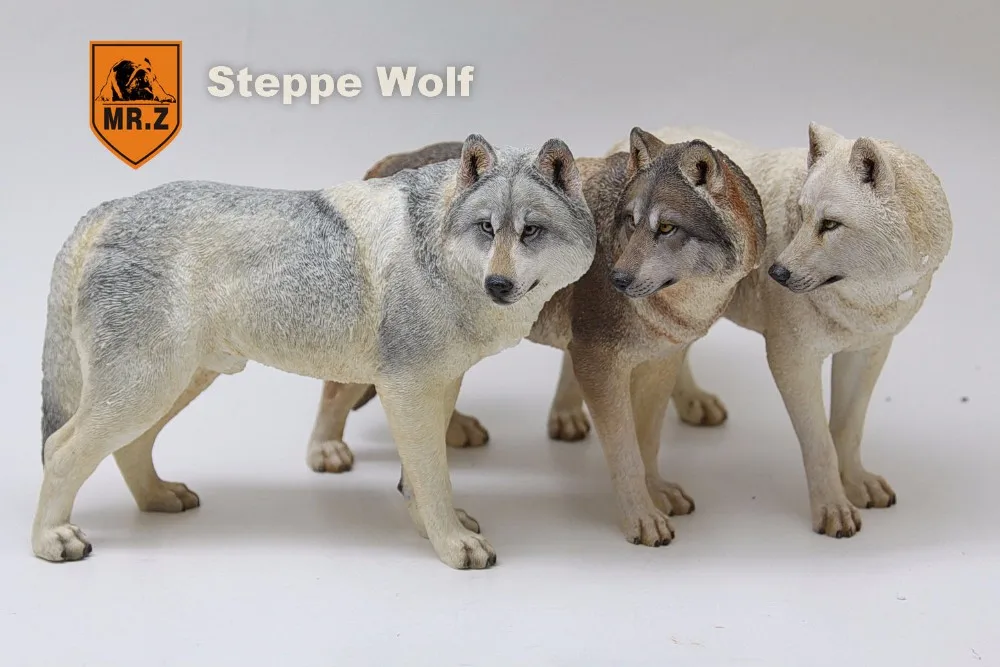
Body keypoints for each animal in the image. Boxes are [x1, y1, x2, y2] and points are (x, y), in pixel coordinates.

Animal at [35, 134, 596, 569]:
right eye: (486, 228)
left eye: (531, 231)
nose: (498, 284)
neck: (435, 247)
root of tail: (109, 208)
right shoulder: (408, 391)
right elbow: (433, 477)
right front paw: (452, 545)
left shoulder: (437, 388)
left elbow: (418, 480)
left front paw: (435, 528)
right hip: (144, 390)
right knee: (59, 449)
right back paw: (50, 540)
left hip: (171, 387)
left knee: (127, 448)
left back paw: (157, 498)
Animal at [310, 128, 766, 546]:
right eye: (631, 222)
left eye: (667, 227)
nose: (616, 279)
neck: (679, 306)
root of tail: (392, 160)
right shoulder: (599, 363)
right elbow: (626, 454)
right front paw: (641, 517)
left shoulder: (661, 363)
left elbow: (648, 444)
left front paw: (657, 492)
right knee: (335, 391)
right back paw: (325, 450)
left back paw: (452, 431)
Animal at [546, 123, 953, 538]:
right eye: (802, 216)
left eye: (830, 224)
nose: (777, 273)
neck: (867, 297)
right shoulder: (792, 359)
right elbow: (820, 442)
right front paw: (833, 508)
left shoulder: (867, 351)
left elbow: (847, 429)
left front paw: (855, 482)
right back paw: (567, 416)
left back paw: (692, 402)